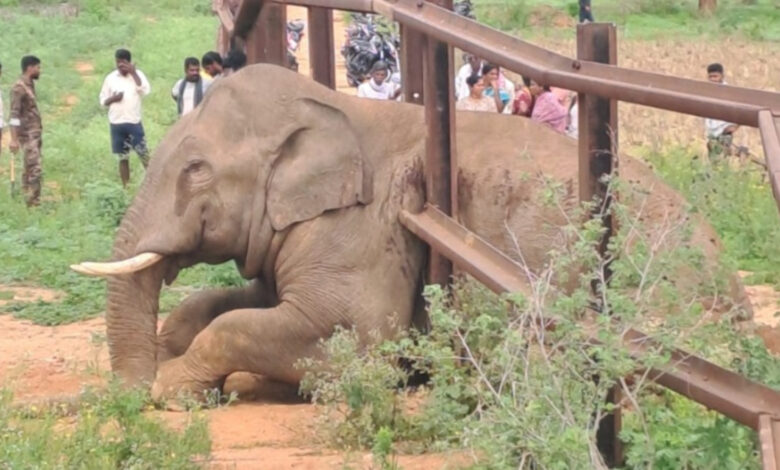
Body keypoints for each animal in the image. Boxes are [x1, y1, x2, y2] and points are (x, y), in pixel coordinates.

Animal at [72, 64, 750, 400]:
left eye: (196, 169)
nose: (126, 394)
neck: (335, 105)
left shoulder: (363, 227)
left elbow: (348, 334)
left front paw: (170, 389)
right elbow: (234, 303)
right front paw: (173, 351)